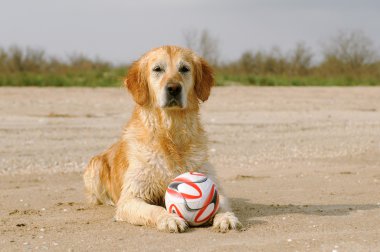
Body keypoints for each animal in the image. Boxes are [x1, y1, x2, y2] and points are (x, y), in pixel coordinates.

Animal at [84, 45, 242, 232]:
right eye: (157, 69)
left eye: (184, 69)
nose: (173, 88)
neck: (170, 133)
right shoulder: (132, 196)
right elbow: (154, 209)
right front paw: (169, 218)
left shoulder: (214, 184)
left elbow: (220, 203)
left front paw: (226, 217)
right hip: (94, 168)